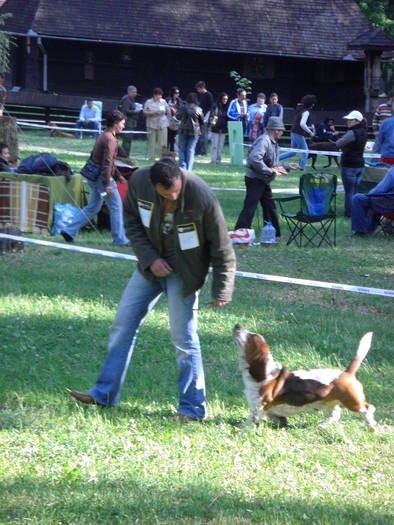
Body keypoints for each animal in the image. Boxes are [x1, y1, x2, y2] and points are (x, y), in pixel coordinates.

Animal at [232, 324, 378, 430]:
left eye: (251, 337)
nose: (237, 325)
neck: (267, 373)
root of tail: (346, 373)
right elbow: (275, 416)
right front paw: (282, 423)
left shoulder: (257, 407)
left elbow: (251, 419)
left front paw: (240, 429)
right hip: (333, 402)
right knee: (334, 414)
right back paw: (323, 425)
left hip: (353, 402)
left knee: (368, 409)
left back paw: (371, 427)